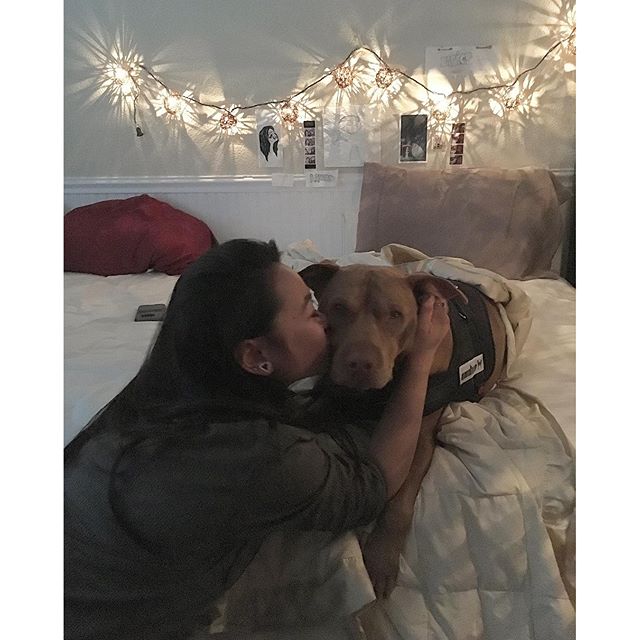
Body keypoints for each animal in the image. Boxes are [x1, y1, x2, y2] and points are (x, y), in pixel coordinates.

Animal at [300, 262, 507, 599]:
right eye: (339, 308)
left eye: (395, 315)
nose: (360, 364)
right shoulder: (333, 397)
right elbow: (310, 411)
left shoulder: (419, 441)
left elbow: (398, 506)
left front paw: (381, 558)